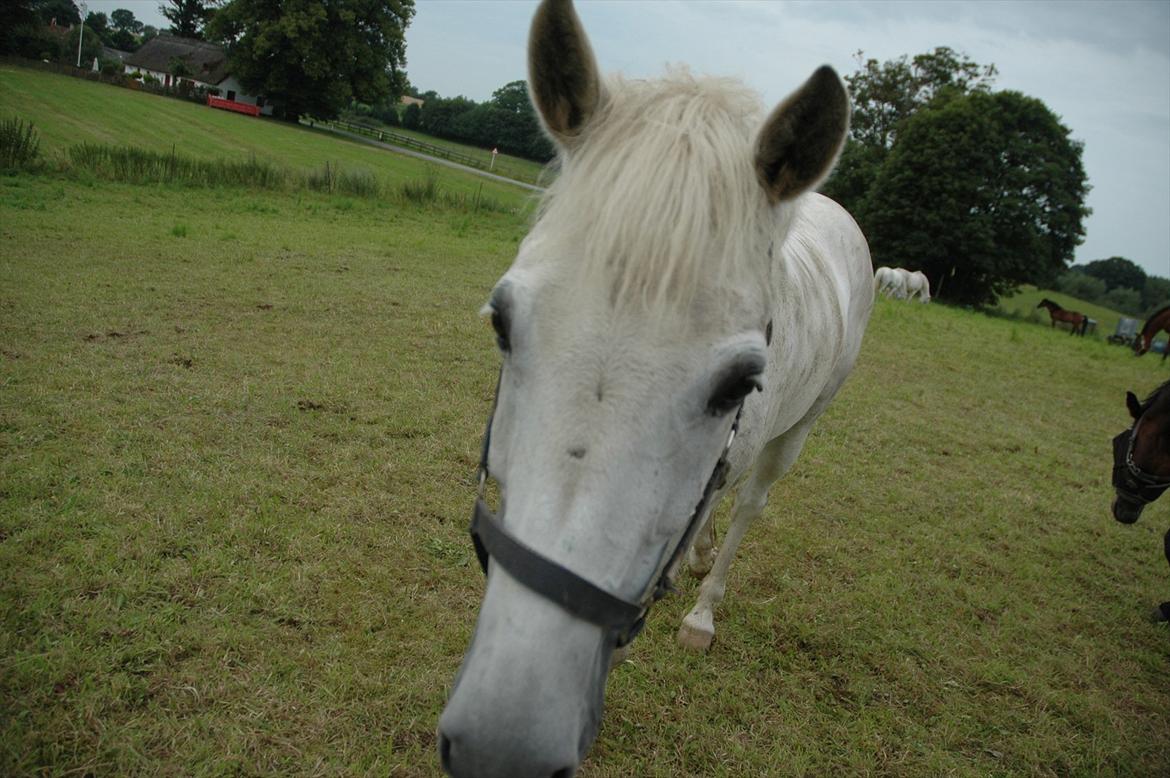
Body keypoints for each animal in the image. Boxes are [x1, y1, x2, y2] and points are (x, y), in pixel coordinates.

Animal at [437, 3, 870, 772]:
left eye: (742, 383)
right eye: (502, 324)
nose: (501, 746)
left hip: (800, 429)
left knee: (751, 502)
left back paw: (704, 606)